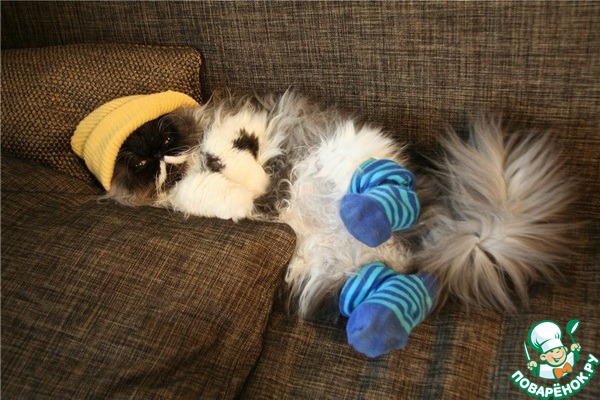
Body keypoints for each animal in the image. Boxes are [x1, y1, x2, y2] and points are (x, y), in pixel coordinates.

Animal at [106, 90, 575, 318]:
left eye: (166, 137)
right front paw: (244, 197)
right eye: (141, 163)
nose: (161, 156)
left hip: (356, 158)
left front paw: (250, 183)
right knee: (384, 289)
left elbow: (239, 156)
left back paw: (365, 215)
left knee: (386, 194)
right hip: (333, 273)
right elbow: (214, 194)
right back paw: (376, 324)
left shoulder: (240, 127)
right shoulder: (190, 193)